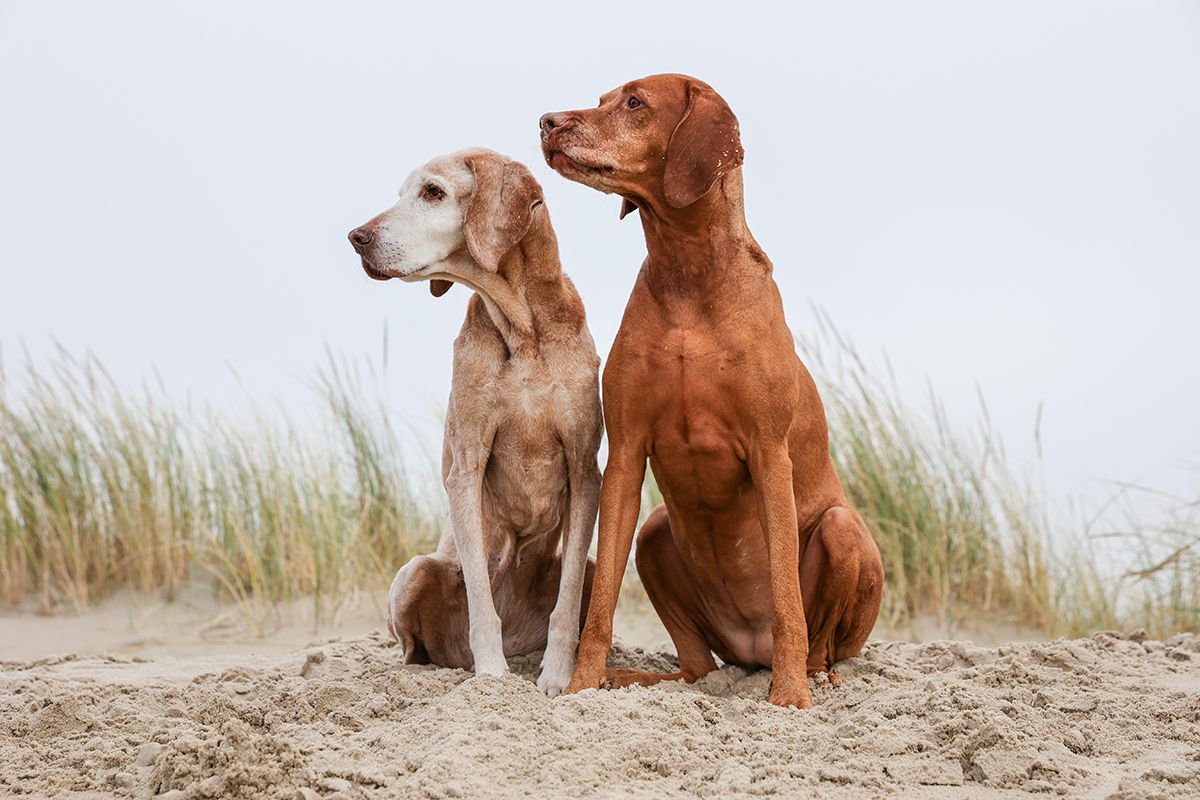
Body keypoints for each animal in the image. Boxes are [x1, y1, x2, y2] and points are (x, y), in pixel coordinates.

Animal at [350, 148, 604, 695]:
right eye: (402, 192)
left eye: (433, 192)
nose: (356, 236)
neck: (523, 330)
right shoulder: (465, 466)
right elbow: (481, 600)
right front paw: (491, 677)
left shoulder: (585, 468)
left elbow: (567, 598)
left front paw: (557, 675)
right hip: (415, 571)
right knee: (415, 644)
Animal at [542, 74, 883, 710]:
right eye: (601, 100)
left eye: (634, 102)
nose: (546, 122)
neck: (687, 273)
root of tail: (749, 652)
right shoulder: (625, 452)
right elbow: (600, 603)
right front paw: (579, 686)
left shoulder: (770, 453)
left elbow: (787, 598)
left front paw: (789, 698)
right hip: (655, 536)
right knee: (697, 665)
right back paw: (634, 678)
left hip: (841, 529)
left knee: (821, 638)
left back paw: (811, 675)